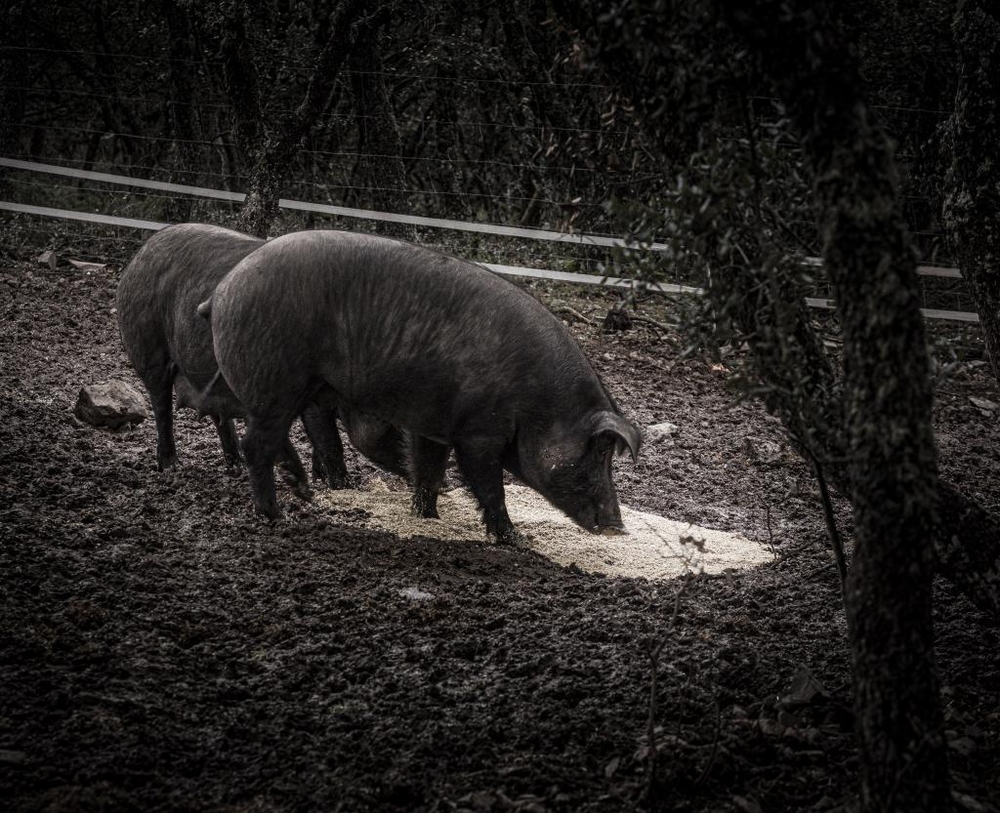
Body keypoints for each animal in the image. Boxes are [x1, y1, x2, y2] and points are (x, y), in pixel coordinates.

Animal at [112, 222, 402, 488]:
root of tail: (140, 254)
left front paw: (321, 480)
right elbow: (330, 441)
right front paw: (342, 487)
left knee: (218, 414)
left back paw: (236, 468)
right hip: (147, 345)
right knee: (161, 405)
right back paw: (171, 466)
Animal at [208, 228, 640, 544]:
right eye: (599, 452)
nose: (618, 526)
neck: (538, 402)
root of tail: (223, 290)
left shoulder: (434, 424)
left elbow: (429, 470)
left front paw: (427, 516)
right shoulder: (478, 433)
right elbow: (488, 486)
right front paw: (514, 539)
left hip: (281, 392)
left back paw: (299, 491)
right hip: (274, 383)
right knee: (256, 445)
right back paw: (273, 514)